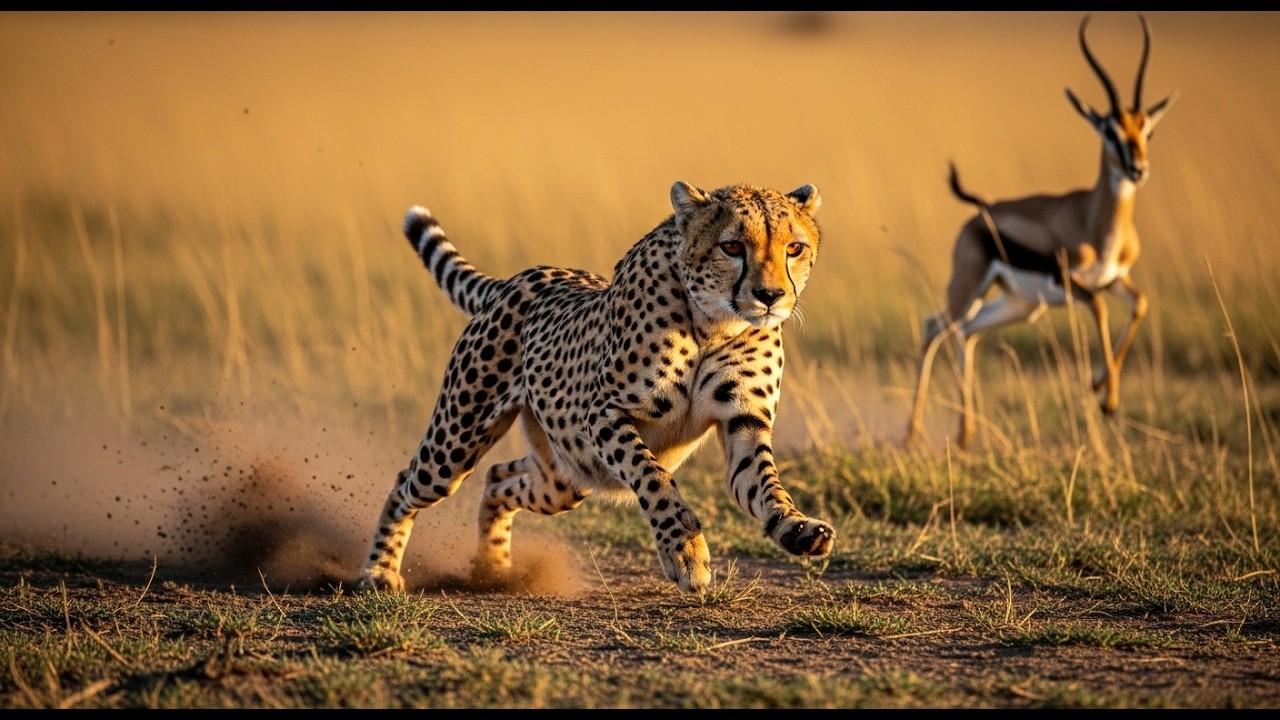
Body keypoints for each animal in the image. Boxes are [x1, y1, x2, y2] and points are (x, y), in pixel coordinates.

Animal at [356, 180, 836, 594]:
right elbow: (654, 476)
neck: (715, 323)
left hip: (566, 476)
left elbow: (763, 482)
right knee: (407, 483)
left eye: (794, 248)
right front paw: (684, 551)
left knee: (498, 477)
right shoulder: (604, 413)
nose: (771, 296)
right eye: (732, 246)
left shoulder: (743, 420)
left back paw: (493, 568)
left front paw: (796, 528)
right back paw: (379, 571)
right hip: (457, 443)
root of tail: (521, 277)